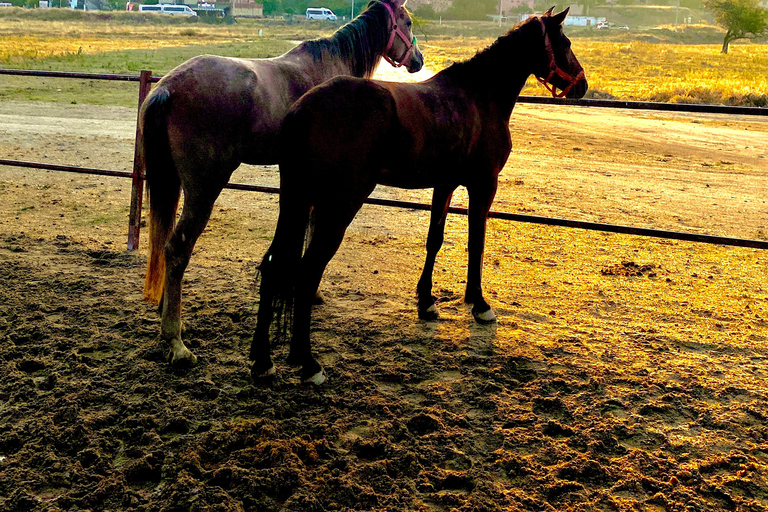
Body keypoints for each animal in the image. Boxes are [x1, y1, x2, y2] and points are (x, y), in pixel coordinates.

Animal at [141, 0, 424, 368]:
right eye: (407, 22)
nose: (418, 60)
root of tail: (167, 87)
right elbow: (313, 230)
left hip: (172, 184)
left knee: (164, 244)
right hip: (203, 190)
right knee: (177, 248)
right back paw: (176, 342)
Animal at [252, 8, 588, 384]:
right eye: (565, 42)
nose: (583, 85)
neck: (479, 95)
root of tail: (303, 109)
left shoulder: (446, 184)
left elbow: (435, 241)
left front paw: (426, 302)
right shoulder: (484, 184)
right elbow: (477, 242)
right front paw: (480, 304)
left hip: (296, 199)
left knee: (273, 266)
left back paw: (263, 360)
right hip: (338, 204)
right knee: (307, 273)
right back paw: (308, 362)